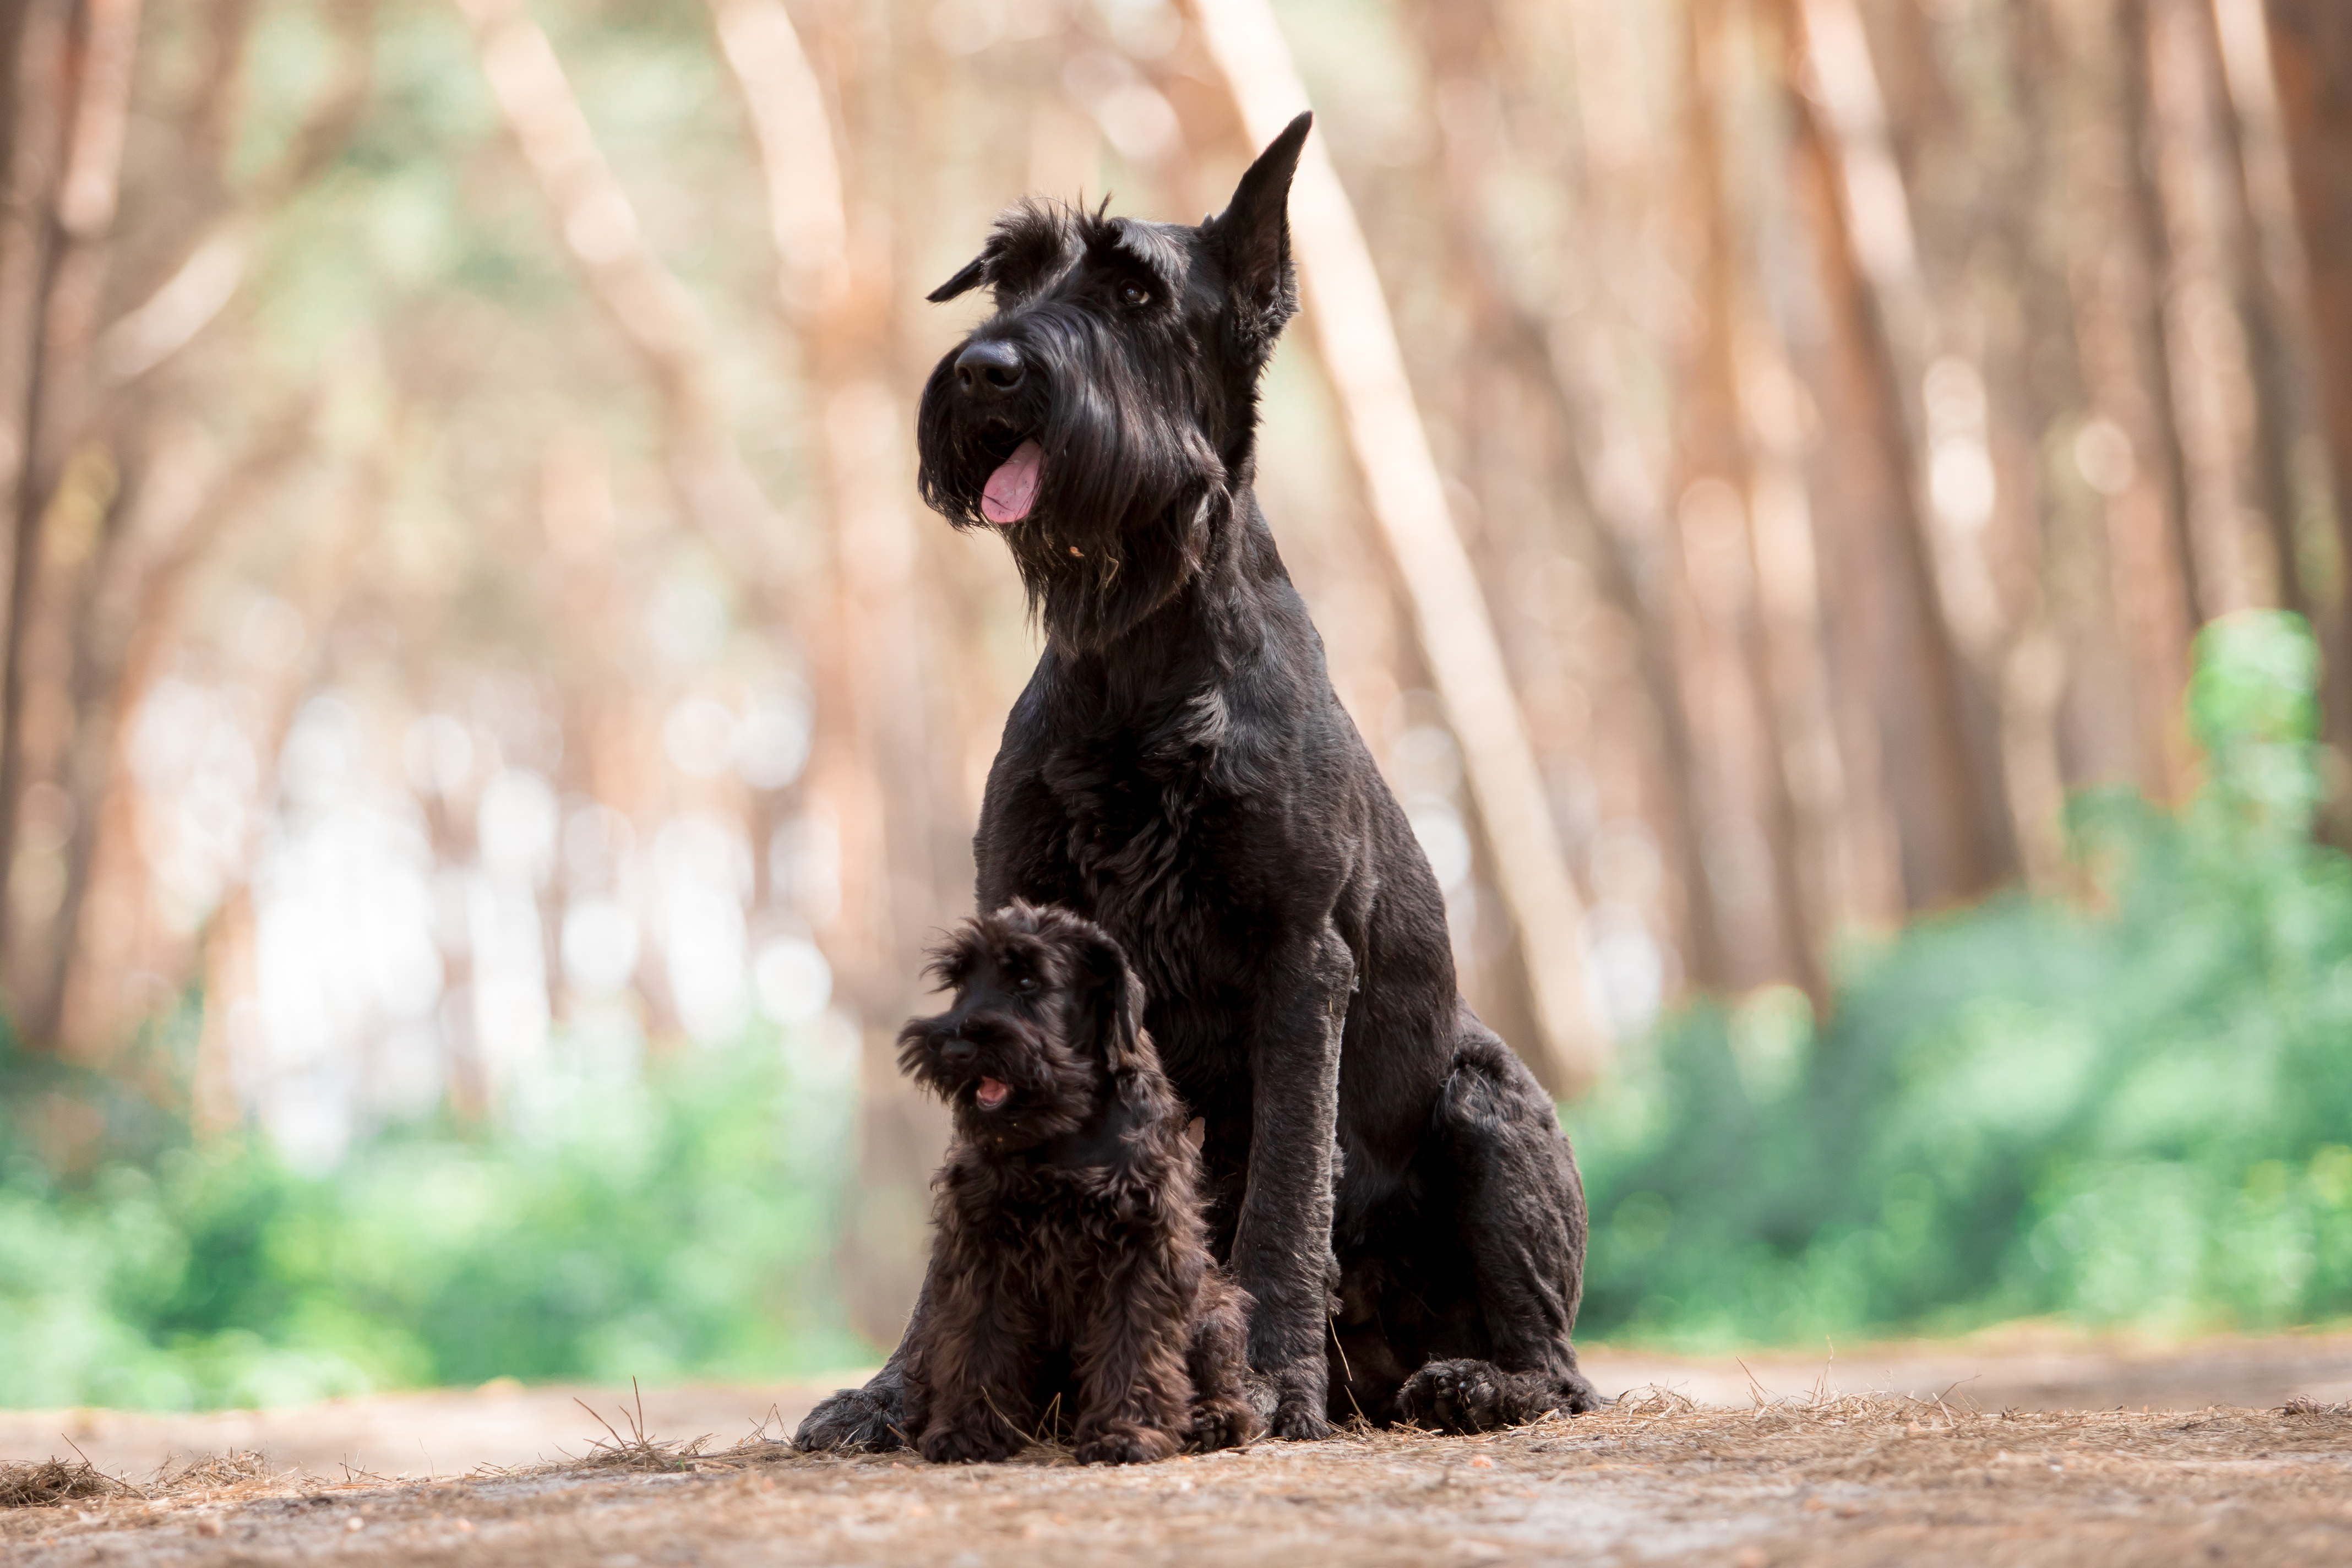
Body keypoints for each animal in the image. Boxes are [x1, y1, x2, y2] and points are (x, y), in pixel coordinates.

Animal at [889, 902, 1260, 1467]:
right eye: (960, 982)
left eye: (1026, 979)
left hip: (1216, 1312)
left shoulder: (1143, 1247)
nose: (953, 1046)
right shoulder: (983, 1243)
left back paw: (1212, 1419)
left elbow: (1132, 1344)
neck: (1062, 1130)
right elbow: (980, 1339)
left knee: (1224, 1383)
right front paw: (969, 1430)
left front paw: (1127, 1432)